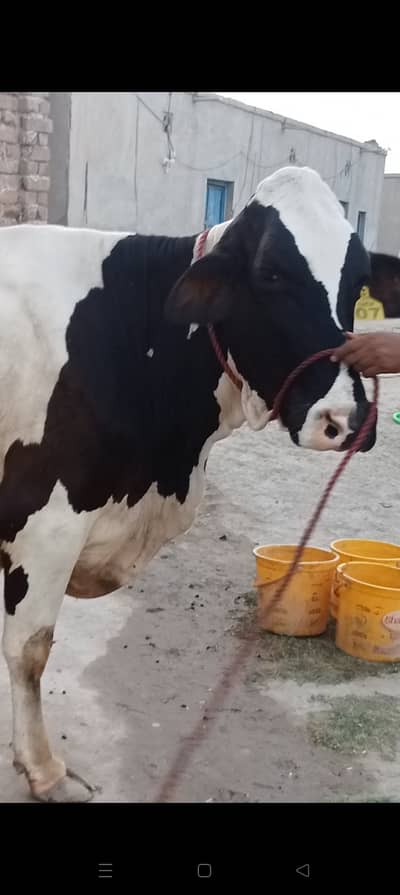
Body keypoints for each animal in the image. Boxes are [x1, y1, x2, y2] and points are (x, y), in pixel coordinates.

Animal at [0, 165, 395, 802]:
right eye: (270, 273)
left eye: (357, 280)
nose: (346, 420)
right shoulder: (45, 522)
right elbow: (30, 648)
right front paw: (45, 771)